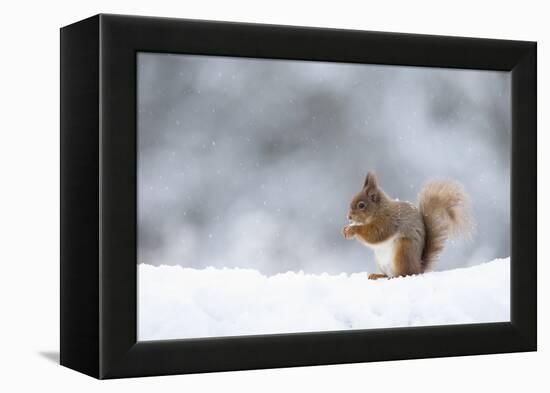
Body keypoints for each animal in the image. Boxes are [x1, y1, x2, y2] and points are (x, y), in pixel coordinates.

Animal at [342, 172, 472, 278]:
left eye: (361, 205)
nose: (349, 217)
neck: (379, 210)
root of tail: (418, 268)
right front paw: (345, 229)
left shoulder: (388, 221)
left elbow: (376, 234)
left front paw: (353, 230)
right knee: (388, 274)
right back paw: (378, 275)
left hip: (403, 250)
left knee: (404, 273)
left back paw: (395, 276)